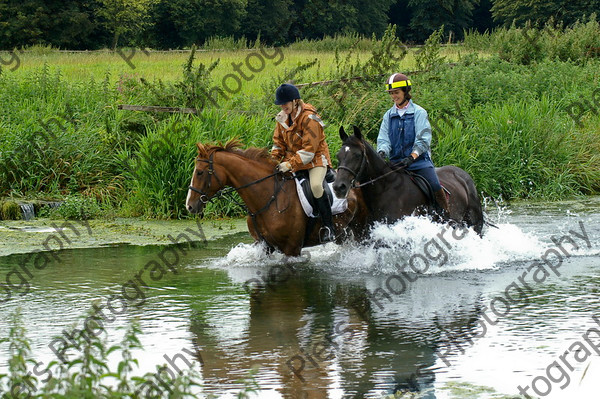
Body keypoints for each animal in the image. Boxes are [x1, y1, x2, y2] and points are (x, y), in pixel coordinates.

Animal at [332, 126, 482, 236]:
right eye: (338, 155)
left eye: (357, 155)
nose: (339, 187)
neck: (385, 189)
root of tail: (462, 174)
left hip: (474, 222)